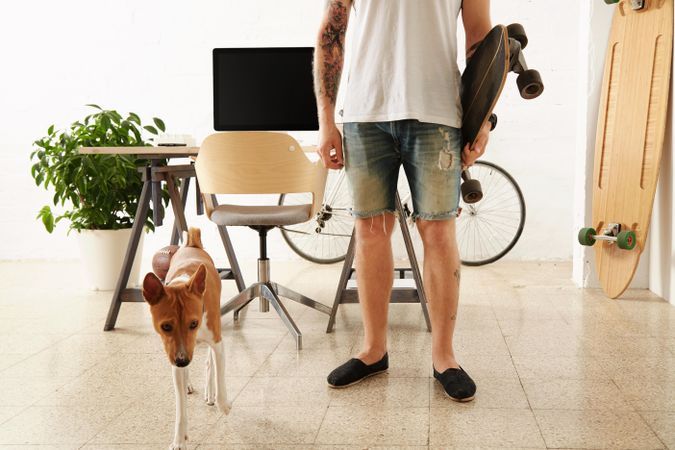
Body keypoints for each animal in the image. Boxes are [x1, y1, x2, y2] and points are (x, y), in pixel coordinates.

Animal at [142, 229, 230, 450]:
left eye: (194, 323)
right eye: (166, 326)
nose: (182, 360)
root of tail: (192, 244)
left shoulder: (217, 343)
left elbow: (219, 375)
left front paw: (223, 404)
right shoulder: (175, 357)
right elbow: (180, 407)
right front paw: (179, 439)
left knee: (209, 364)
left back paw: (210, 392)